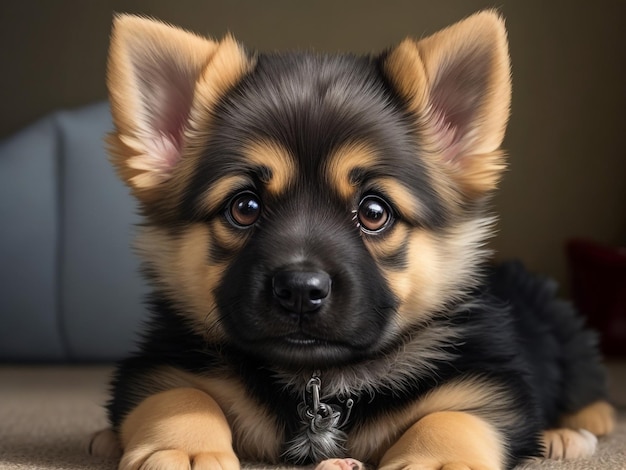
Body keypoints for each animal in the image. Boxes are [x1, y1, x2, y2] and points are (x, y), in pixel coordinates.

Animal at [89, 10, 616, 470]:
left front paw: (438, 459)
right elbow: (183, 396)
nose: (299, 290)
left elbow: (452, 416)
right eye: (244, 207)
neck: (318, 379)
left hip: (568, 345)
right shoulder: (160, 368)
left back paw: (567, 435)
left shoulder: (486, 385)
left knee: (595, 402)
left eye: (374, 212)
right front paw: (182, 446)